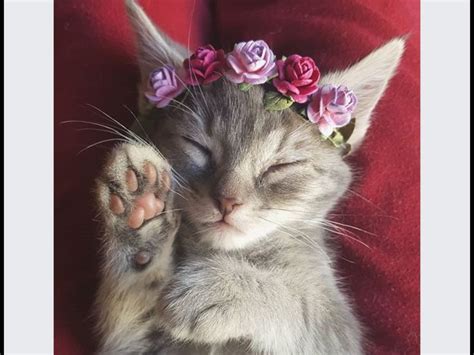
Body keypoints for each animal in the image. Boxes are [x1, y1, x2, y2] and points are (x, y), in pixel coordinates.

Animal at [94, 1, 406, 354]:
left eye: (280, 167)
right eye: (198, 147)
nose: (228, 201)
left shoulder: (339, 334)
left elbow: (303, 305)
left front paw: (223, 289)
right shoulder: (133, 344)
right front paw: (141, 216)